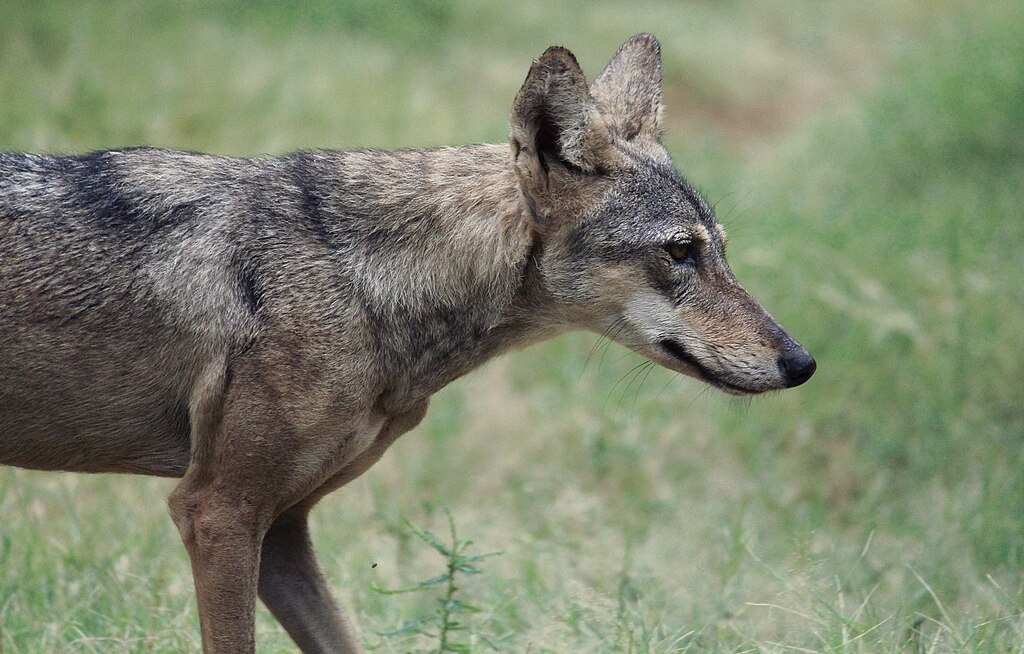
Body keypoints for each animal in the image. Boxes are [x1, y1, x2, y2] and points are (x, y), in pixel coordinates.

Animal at [0, 34, 814, 653]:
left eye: (721, 251)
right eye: (680, 253)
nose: (802, 362)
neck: (364, 280)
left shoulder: (283, 528)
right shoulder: (217, 510)